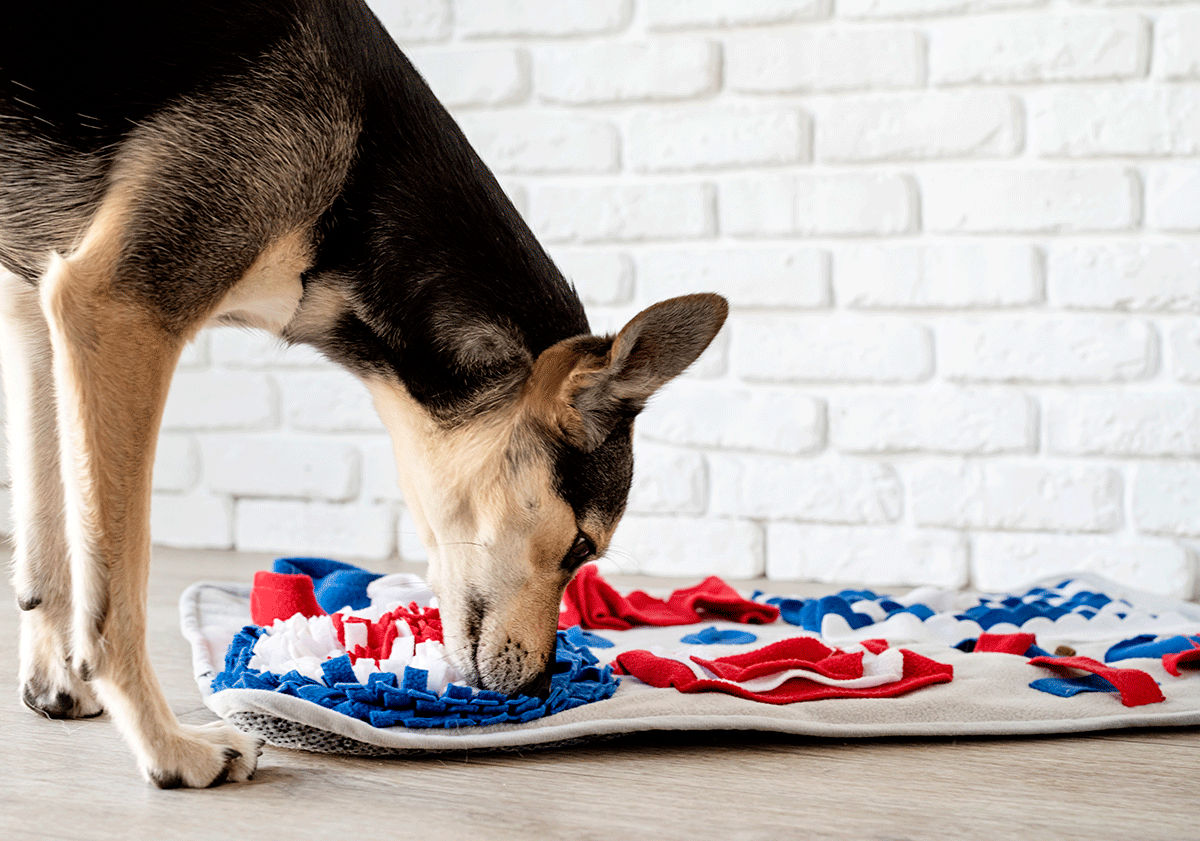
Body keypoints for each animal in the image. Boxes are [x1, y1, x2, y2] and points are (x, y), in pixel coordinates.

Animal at [0, 0, 720, 787]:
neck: (360, 168)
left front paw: (56, 679)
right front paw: (168, 749)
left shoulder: (40, 309)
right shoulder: (117, 308)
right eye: (582, 545)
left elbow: (46, 537)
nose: (537, 687)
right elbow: (118, 589)